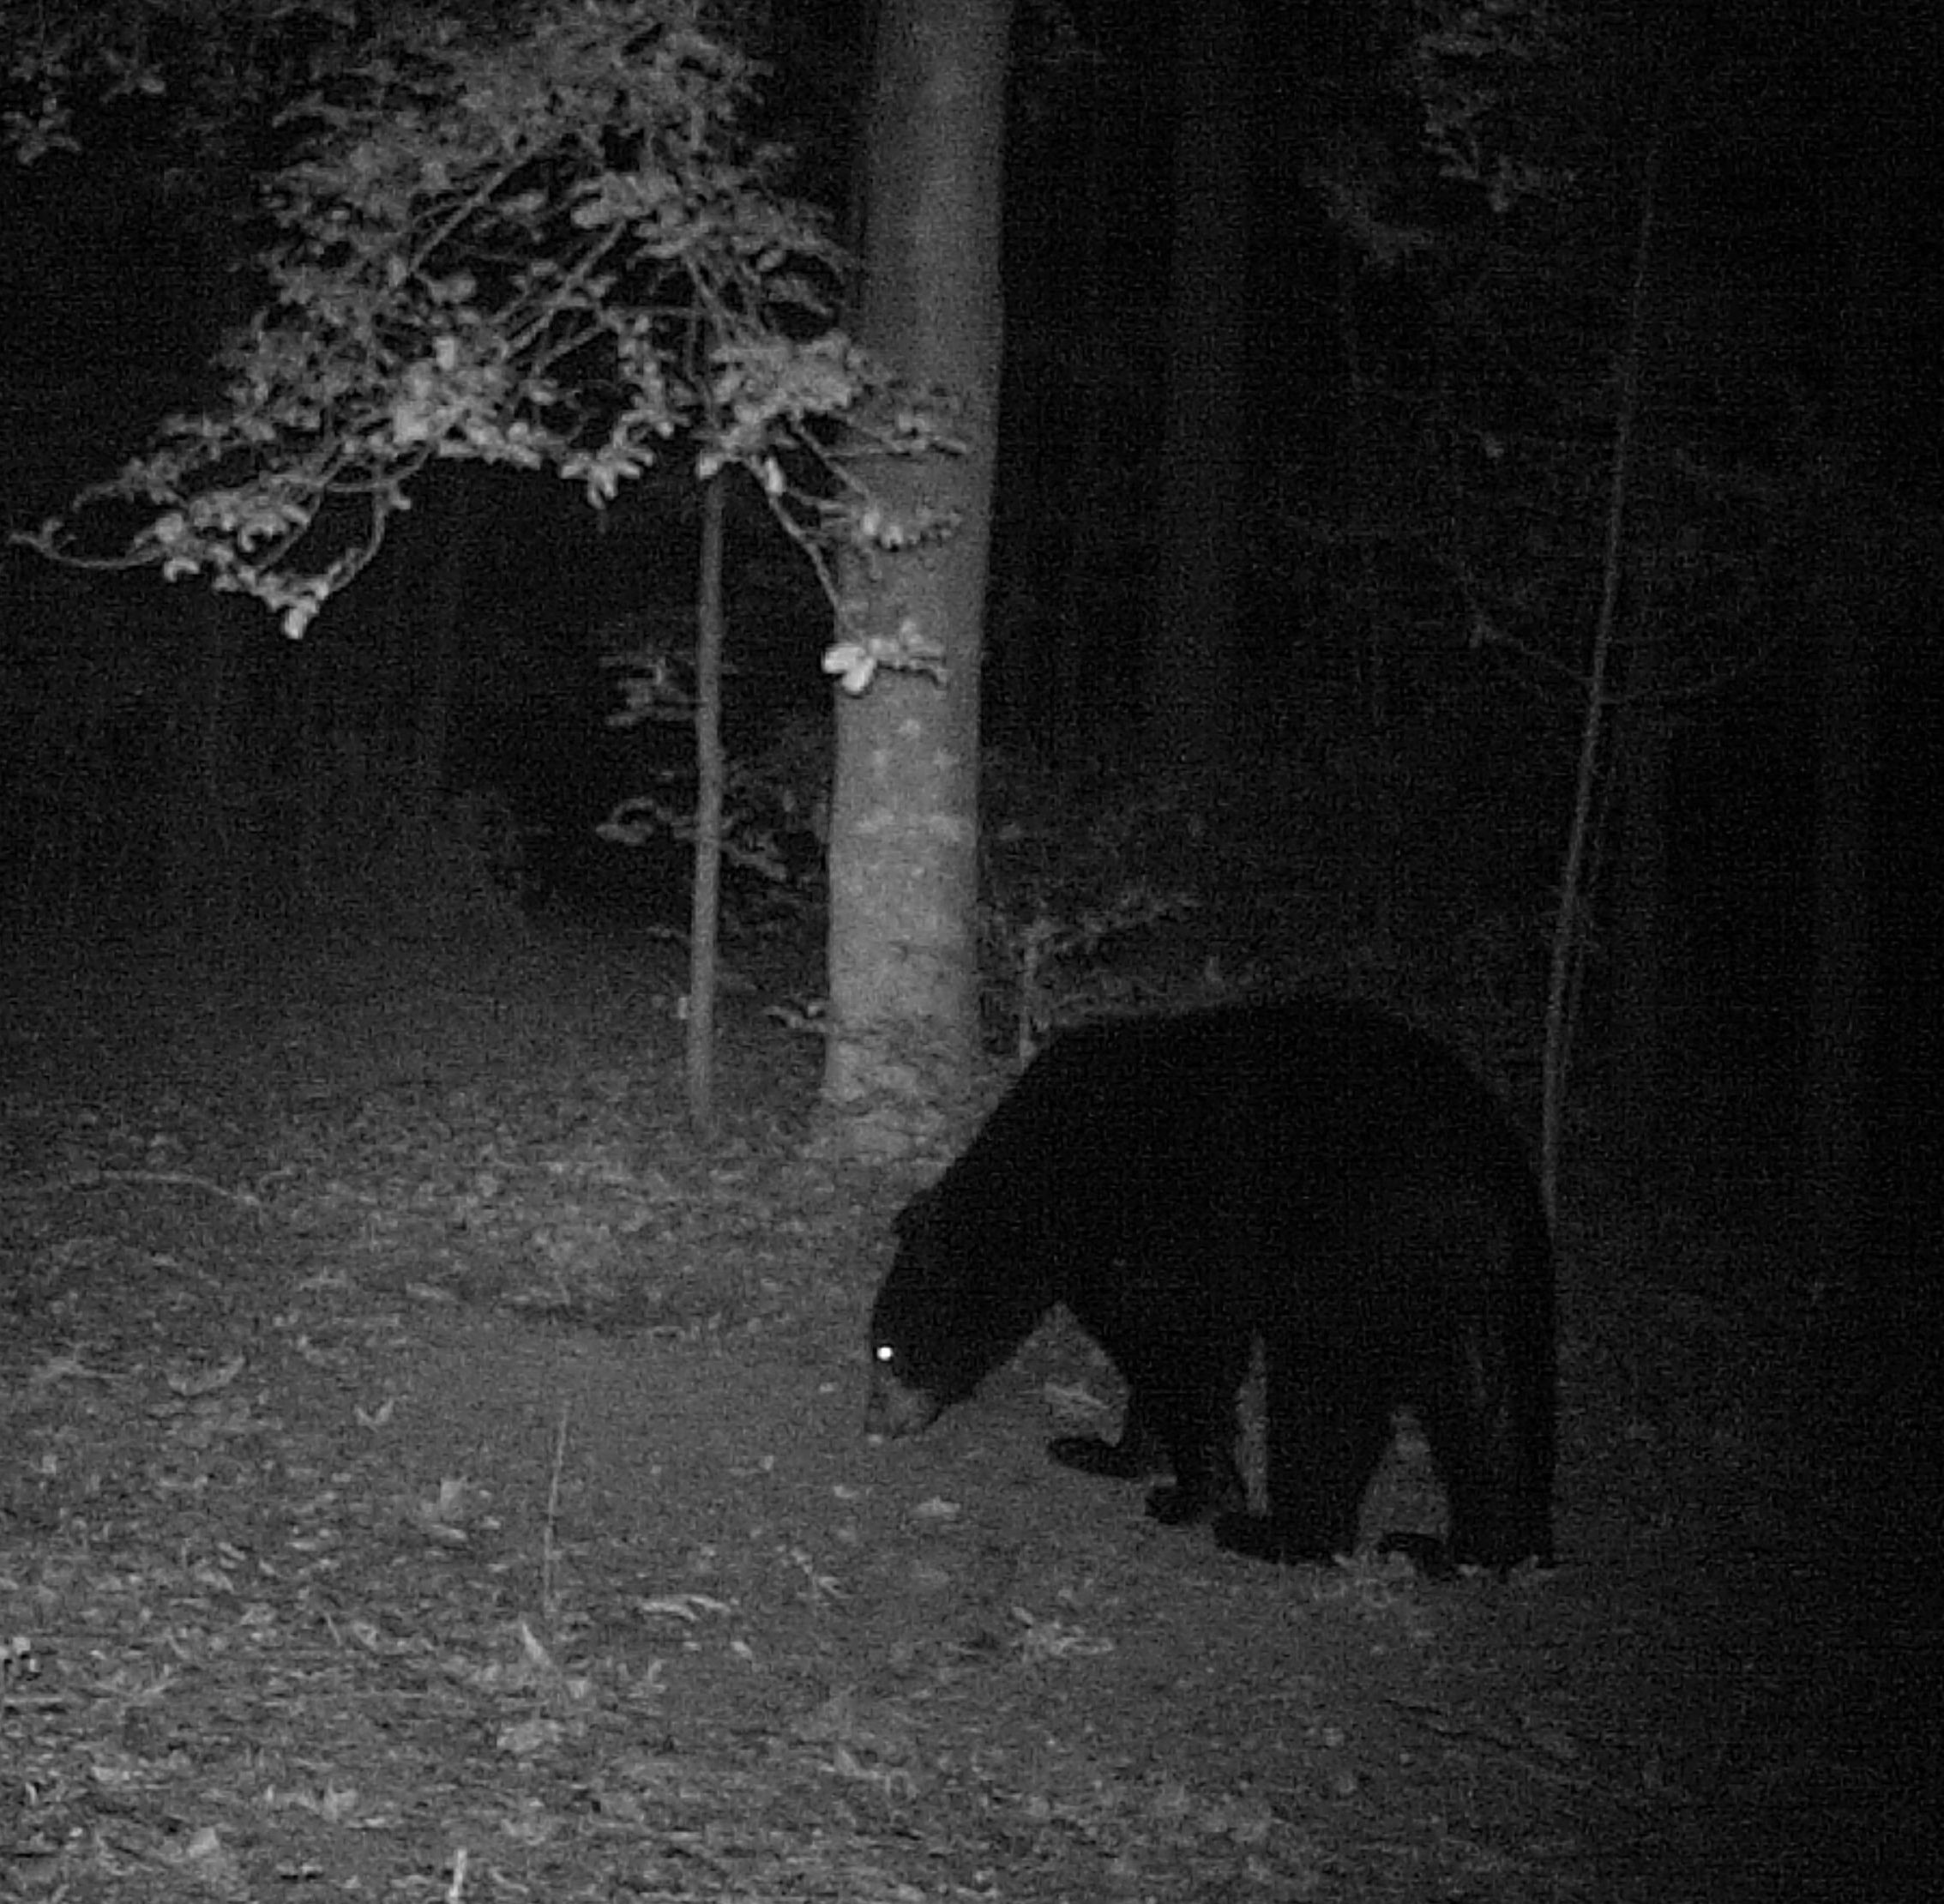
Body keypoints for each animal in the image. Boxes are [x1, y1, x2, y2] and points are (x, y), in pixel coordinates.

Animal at [864, 998, 1556, 1576]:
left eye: (885, 1351)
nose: (875, 1424)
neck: (1045, 1181)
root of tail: (1477, 1180)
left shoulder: (1147, 1229)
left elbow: (1173, 1350)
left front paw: (1193, 1494)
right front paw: (1104, 1450)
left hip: (1353, 1249)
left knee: (1324, 1392)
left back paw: (1283, 1535)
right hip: (1483, 1285)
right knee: (1485, 1401)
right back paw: (1464, 1550)